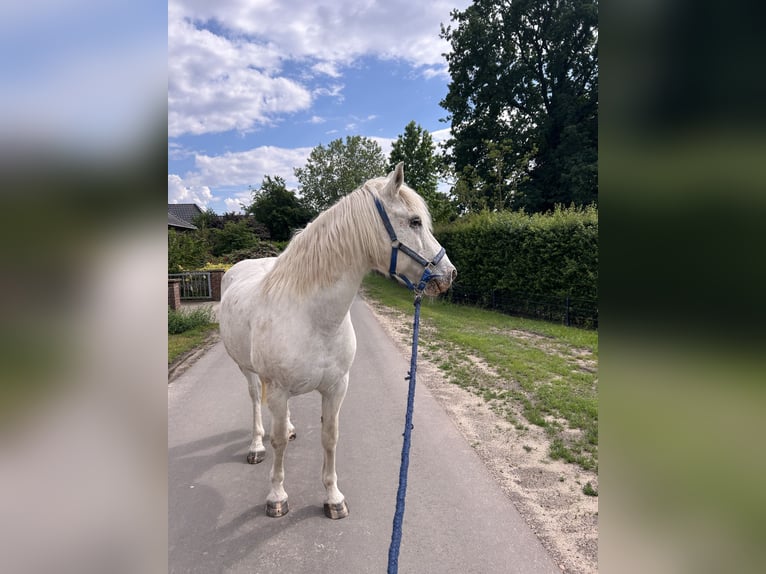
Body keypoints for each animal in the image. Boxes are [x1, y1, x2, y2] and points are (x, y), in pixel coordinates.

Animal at [219, 163, 457, 519]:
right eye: (415, 221)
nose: (449, 274)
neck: (313, 318)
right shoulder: (278, 388)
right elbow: (278, 444)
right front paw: (276, 496)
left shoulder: (335, 388)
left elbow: (329, 438)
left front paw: (333, 497)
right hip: (247, 371)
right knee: (255, 403)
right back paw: (256, 445)